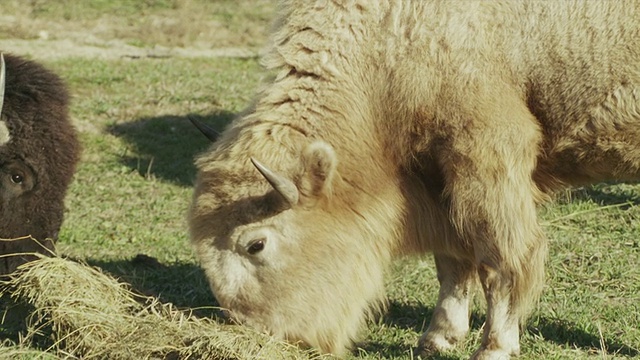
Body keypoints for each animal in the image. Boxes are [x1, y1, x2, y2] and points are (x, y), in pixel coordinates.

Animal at [188, 1, 640, 358]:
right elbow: (452, 260)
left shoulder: (487, 159)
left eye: (256, 244)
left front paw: (493, 347)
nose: (261, 333)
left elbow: (500, 260)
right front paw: (438, 338)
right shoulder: (437, 178)